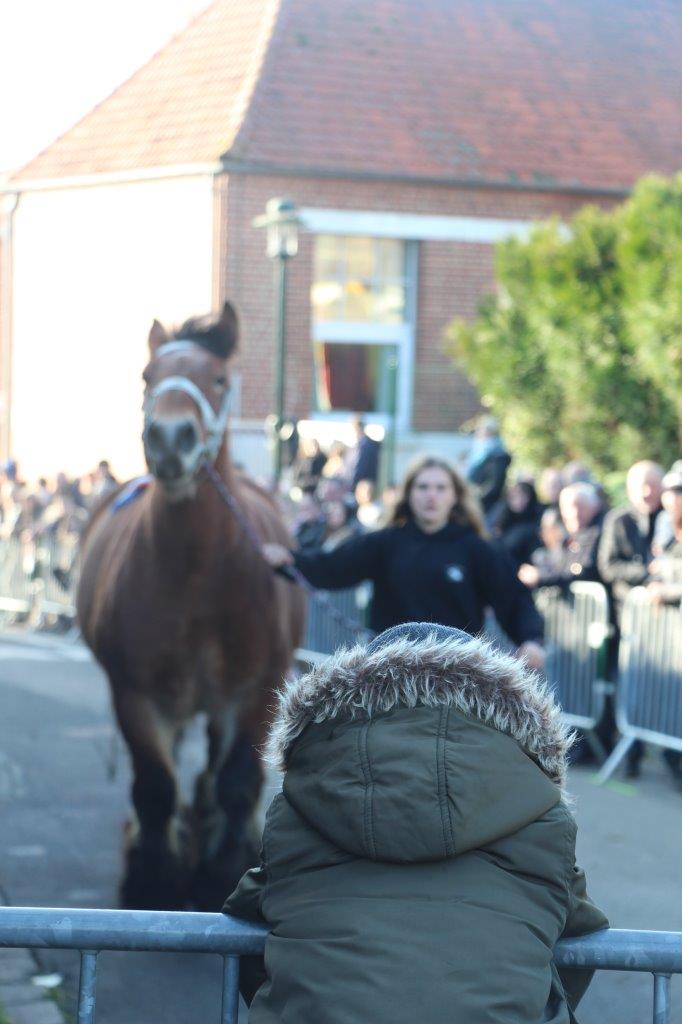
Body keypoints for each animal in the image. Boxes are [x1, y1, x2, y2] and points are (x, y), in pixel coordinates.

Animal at [75, 299, 303, 909]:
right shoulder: (136, 693)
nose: (170, 438)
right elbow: (154, 788)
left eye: (219, 379)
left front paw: (221, 871)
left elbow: (237, 783)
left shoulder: (255, 688)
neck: (199, 577)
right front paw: (153, 880)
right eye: (146, 377)